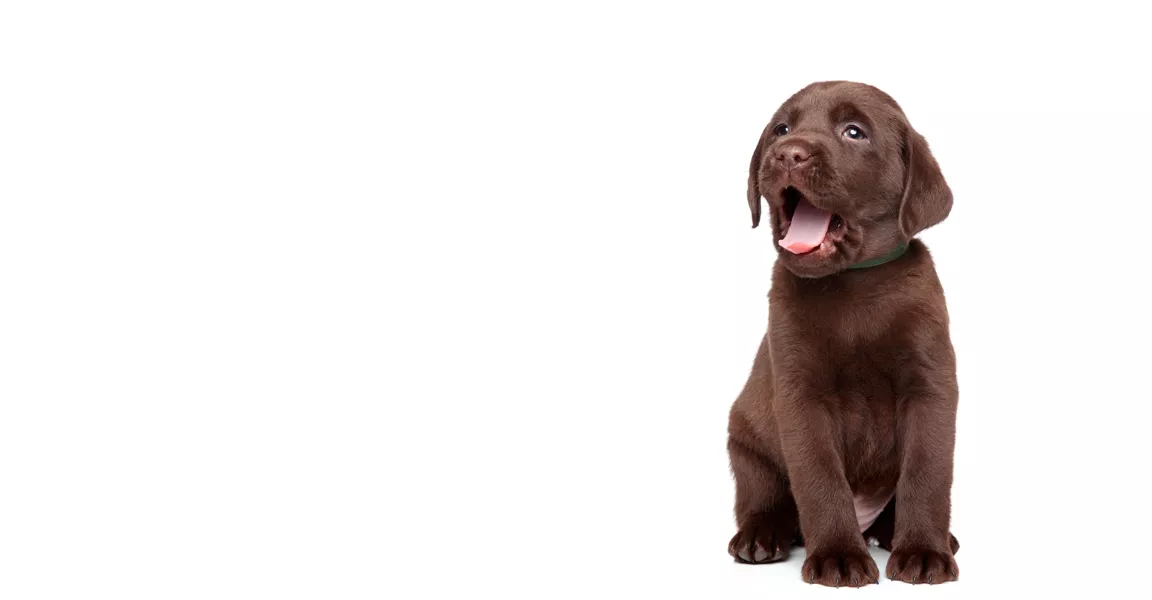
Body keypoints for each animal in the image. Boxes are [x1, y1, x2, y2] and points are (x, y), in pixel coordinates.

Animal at [727, 81, 959, 587]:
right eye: (781, 129)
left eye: (854, 132)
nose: (787, 154)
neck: (853, 283)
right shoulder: (800, 397)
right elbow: (820, 479)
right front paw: (837, 555)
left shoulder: (931, 388)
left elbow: (927, 474)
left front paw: (924, 550)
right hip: (746, 444)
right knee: (765, 500)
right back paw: (759, 538)